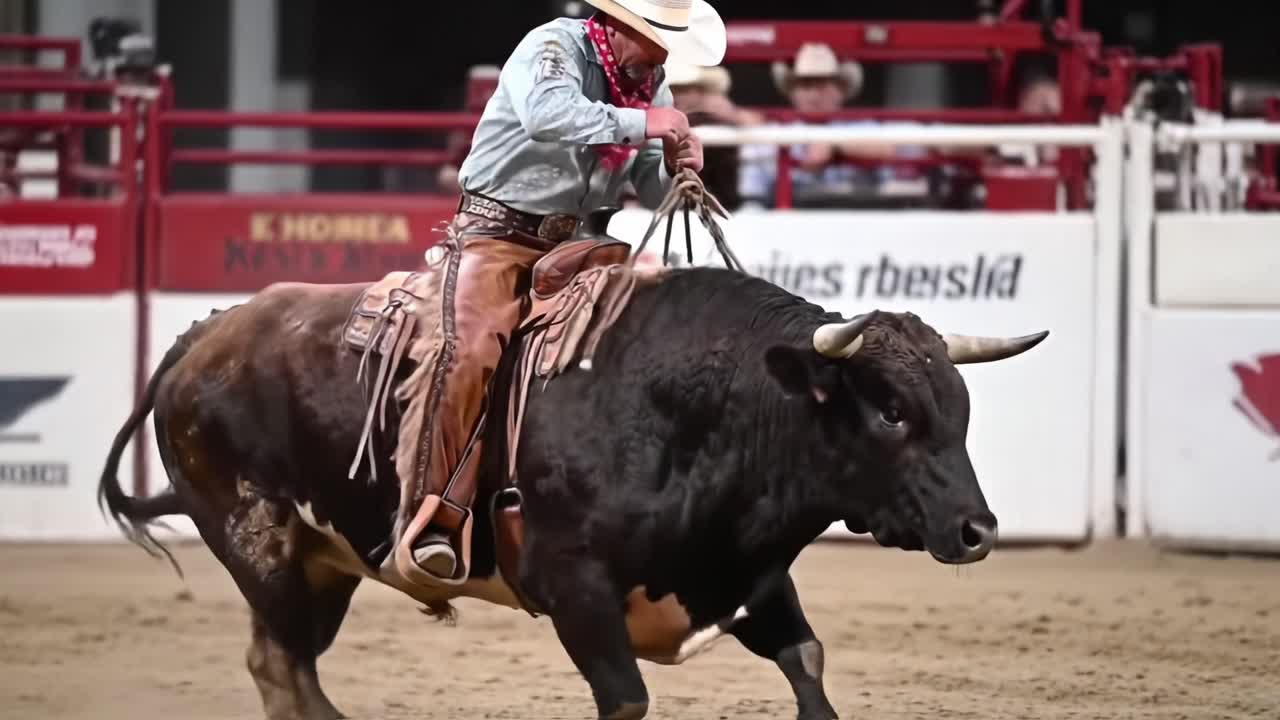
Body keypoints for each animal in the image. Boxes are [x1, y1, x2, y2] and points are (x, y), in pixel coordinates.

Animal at [98, 264, 1046, 720]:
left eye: (957, 408)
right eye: (890, 410)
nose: (977, 529)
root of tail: (201, 337)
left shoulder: (749, 578)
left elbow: (808, 668)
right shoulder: (576, 591)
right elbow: (626, 697)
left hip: (321, 564)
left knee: (281, 668)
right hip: (266, 550)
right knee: (282, 666)